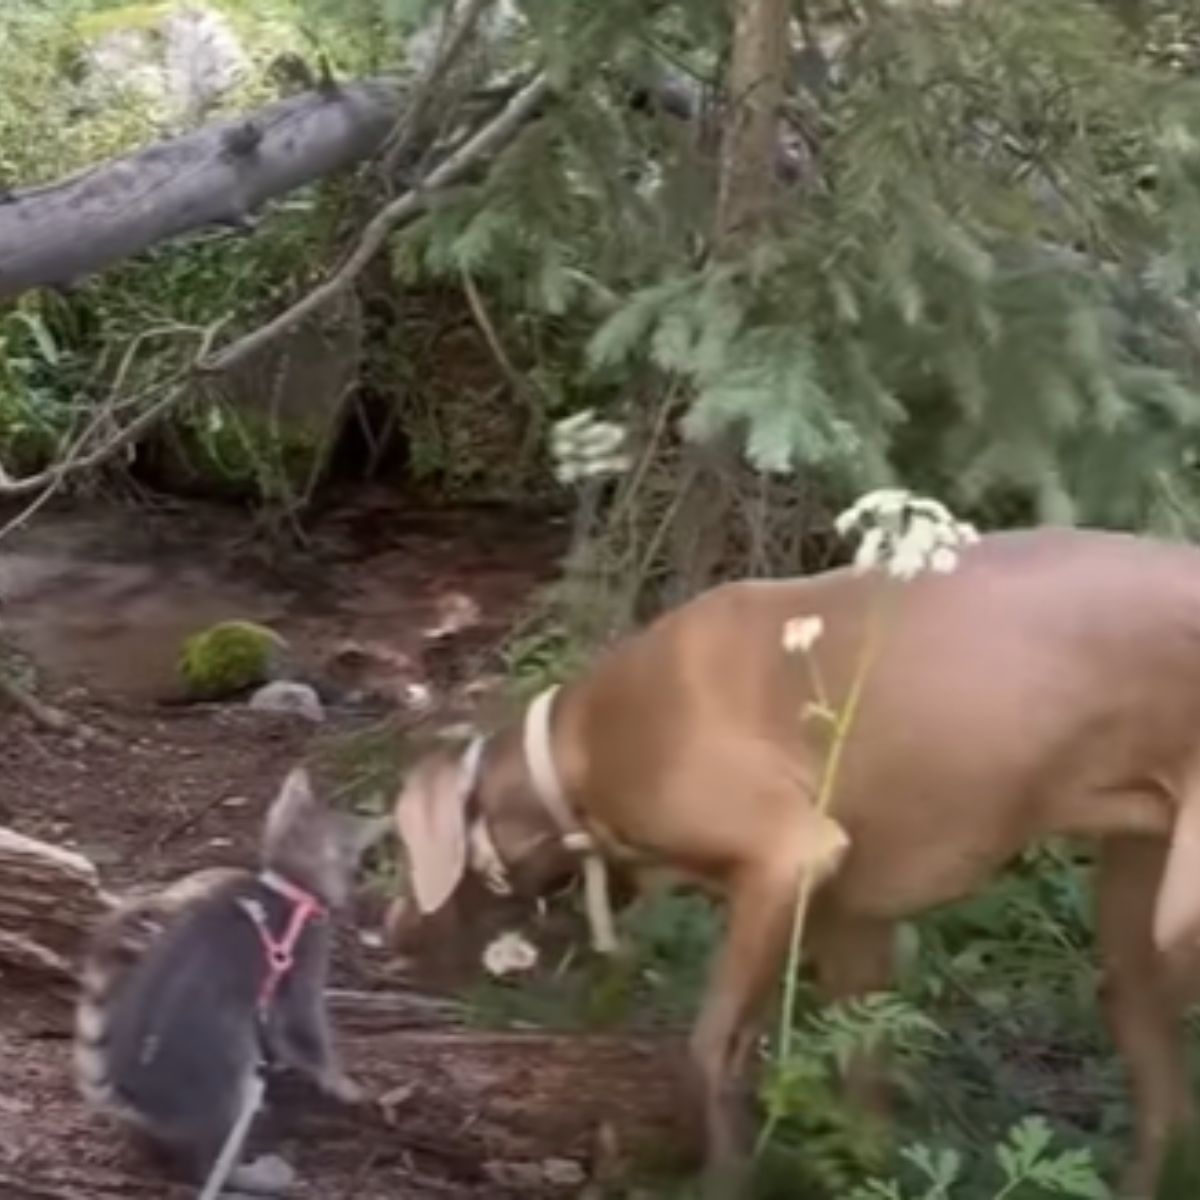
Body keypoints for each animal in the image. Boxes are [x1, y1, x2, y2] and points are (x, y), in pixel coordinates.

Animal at [384, 532, 1200, 1200]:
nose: (384, 934)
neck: (580, 754)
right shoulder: (853, 927)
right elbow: (864, 1095)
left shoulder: (788, 858)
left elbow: (712, 1050)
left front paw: (723, 1179)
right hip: (1134, 934)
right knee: (1163, 1104)